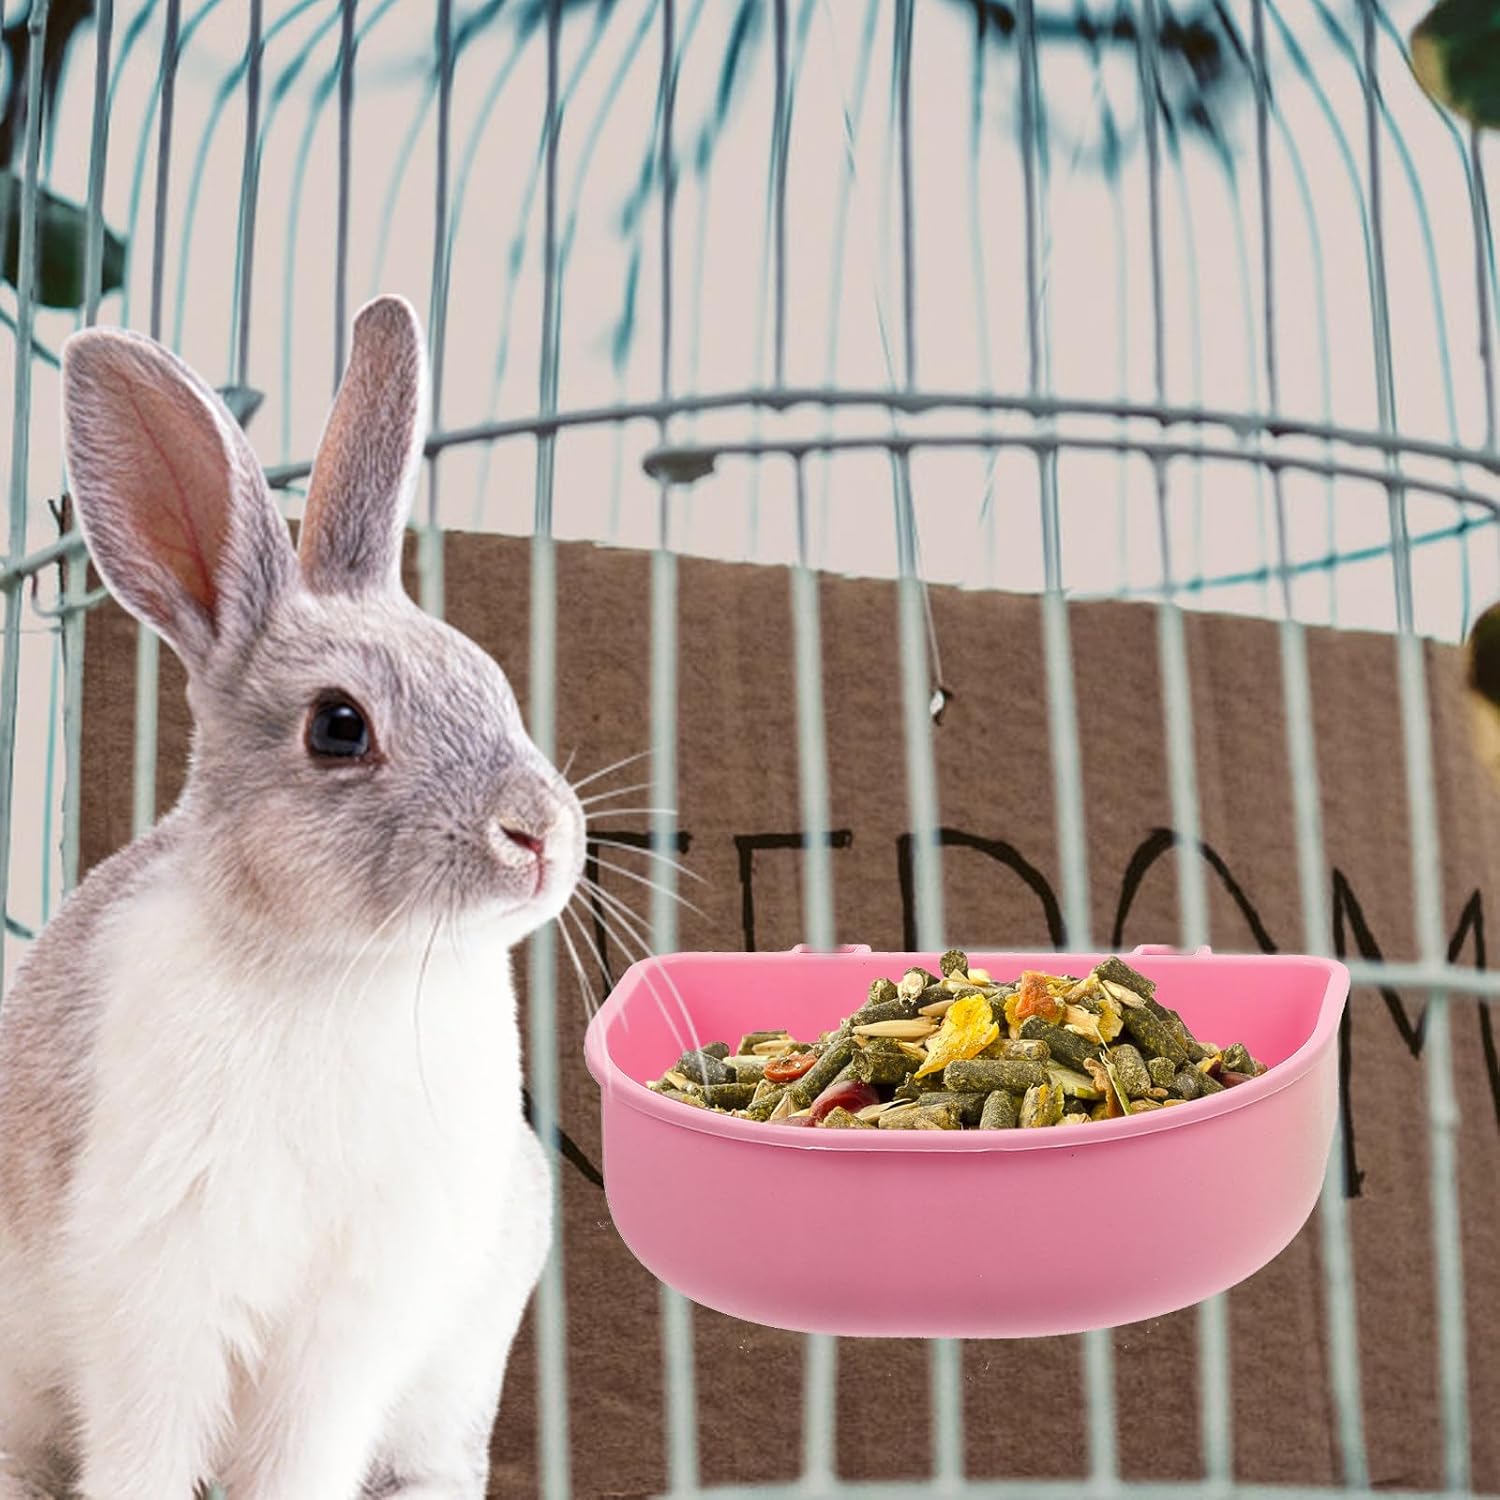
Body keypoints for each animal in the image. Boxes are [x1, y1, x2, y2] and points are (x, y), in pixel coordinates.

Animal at [0, 294, 583, 1499]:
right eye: (338, 727)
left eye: (493, 680)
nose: (540, 837)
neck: (340, 971)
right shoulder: (158, 1289)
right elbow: (145, 1446)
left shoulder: (353, 1321)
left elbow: (302, 1451)